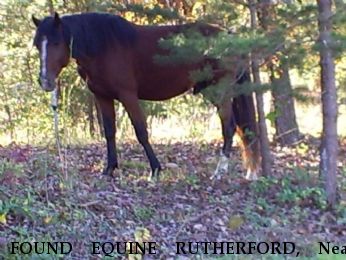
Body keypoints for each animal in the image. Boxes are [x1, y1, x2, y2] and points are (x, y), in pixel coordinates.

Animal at [32, 12, 260, 181]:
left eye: (55, 42)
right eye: (37, 45)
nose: (45, 81)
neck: (103, 46)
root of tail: (230, 36)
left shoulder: (128, 96)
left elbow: (141, 131)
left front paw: (155, 170)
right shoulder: (102, 97)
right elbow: (109, 132)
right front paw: (109, 169)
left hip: (221, 92)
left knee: (229, 127)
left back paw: (219, 172)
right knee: (241, 129)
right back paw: (250, 172)